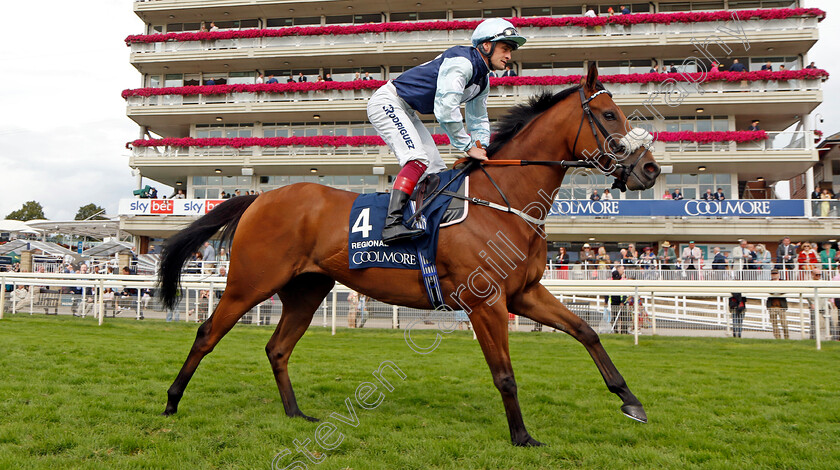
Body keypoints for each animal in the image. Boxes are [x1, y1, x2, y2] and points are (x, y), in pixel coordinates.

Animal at [158, 65, 664, 444]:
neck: (504, 199)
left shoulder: (524, 294)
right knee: (207, 333)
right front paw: (522, 437)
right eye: (609, 115)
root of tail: (259, 197)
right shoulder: (485, 302)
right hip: (250, 281)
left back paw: (295, 413)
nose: (650, 169)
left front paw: (631, 401)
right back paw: (171, 401)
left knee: (277, 348)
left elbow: (585, 331)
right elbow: (504, 374)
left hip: (306, 289)